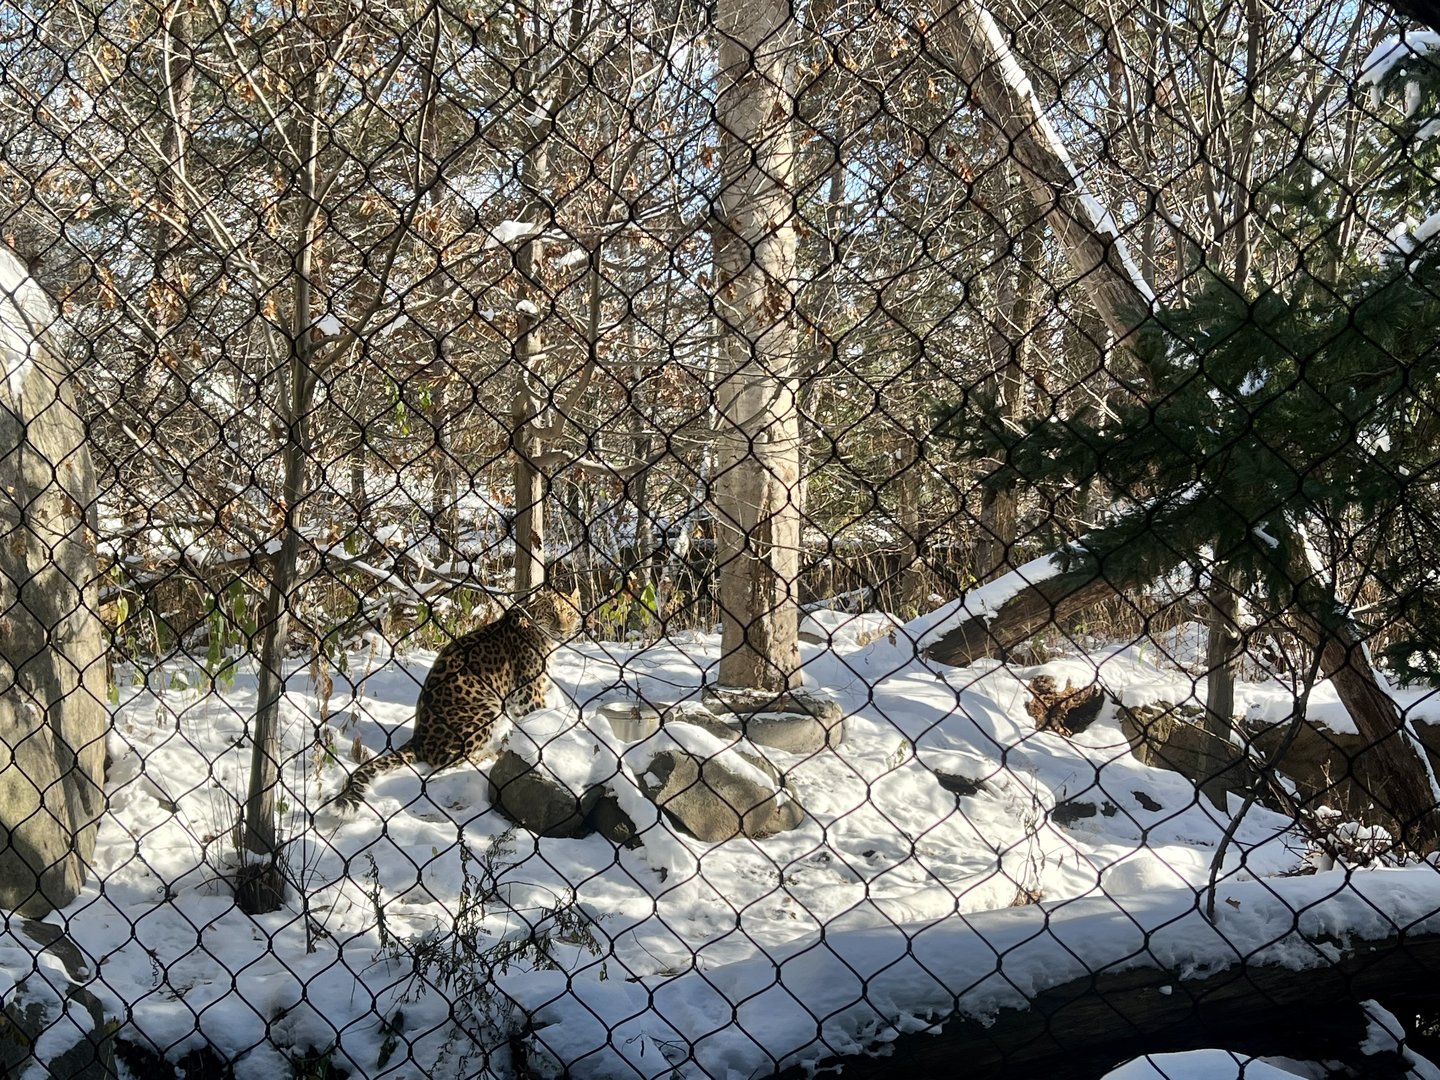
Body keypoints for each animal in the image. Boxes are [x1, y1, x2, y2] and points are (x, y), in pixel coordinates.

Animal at [332, 586, 581, 810]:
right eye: (552, 613)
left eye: (570, 614)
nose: (563, 631)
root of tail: (418, 739)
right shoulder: (529, 692)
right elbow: (539, 716)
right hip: (486, 710)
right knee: (445, 761)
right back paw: (490, 754)